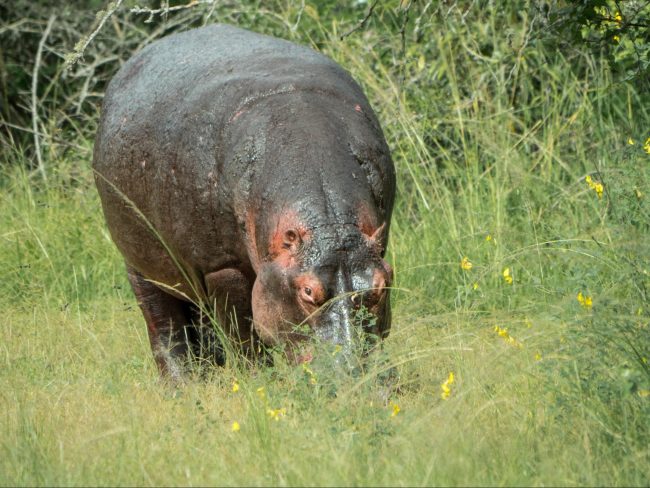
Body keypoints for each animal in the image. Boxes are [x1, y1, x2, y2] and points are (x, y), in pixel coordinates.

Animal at [92, 23, 394, 382]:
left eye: (380, 287)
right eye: (307, 292)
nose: (354, 375)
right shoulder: (222, 267)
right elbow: (243, 336)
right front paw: (262, 384)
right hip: (140, 264)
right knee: (164, 327)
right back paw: (183, 385)